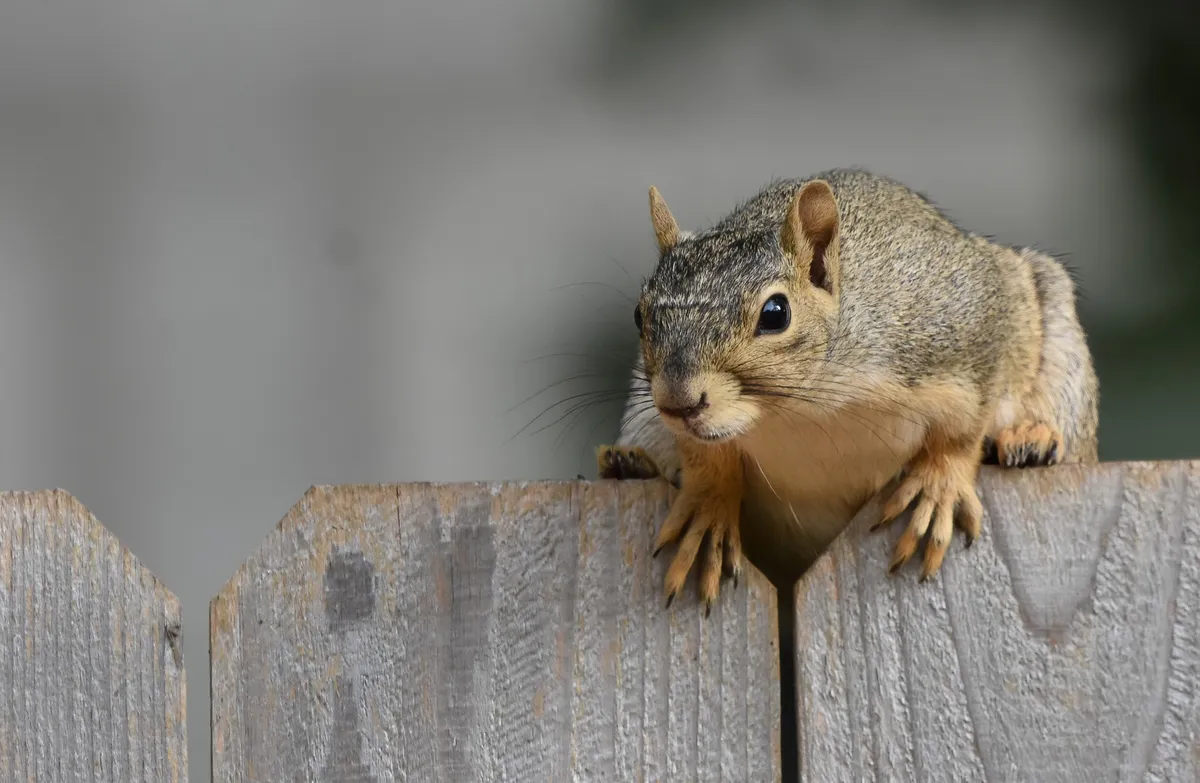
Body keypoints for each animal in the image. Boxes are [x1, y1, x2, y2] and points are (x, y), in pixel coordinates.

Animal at [596, 167, 1099, 613]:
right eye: (639, 315)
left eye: (776, 313)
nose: (678, 403)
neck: (800, 409)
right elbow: (706, 458)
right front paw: (708, 507)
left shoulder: (962, 331)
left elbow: (961, 429)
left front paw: (938, 485)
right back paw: (629, 461)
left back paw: (1033, 439)